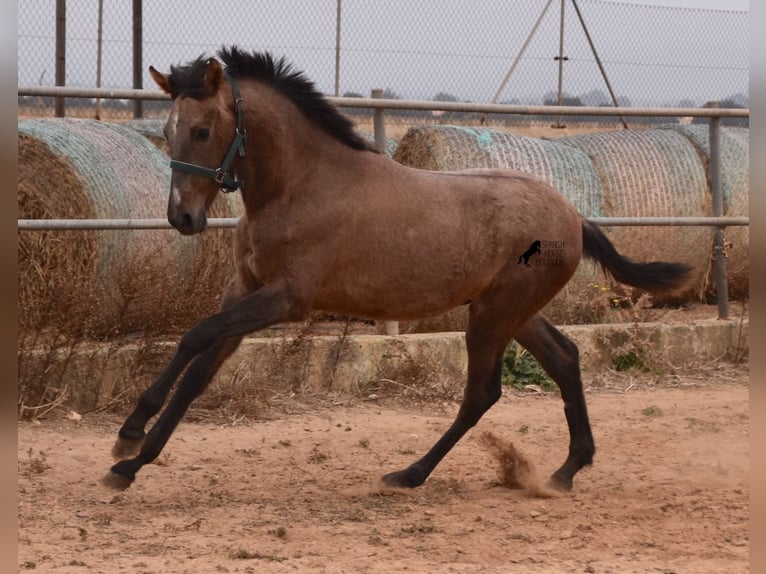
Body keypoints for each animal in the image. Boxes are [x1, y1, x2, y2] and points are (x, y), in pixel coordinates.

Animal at [99, 46, 692, 496]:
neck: (299, 186)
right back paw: (566, 472)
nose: (182, 218)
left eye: (201, 131)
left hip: (495, 315)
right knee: (566, 360)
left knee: (482, 393)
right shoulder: (243, 289)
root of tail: (574, 215)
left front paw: (129, 436)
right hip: (513, 312)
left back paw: (411, 474)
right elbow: (199, 366)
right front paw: (130, 460)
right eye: (167, 128)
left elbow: (196, 337)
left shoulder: (286, 299)